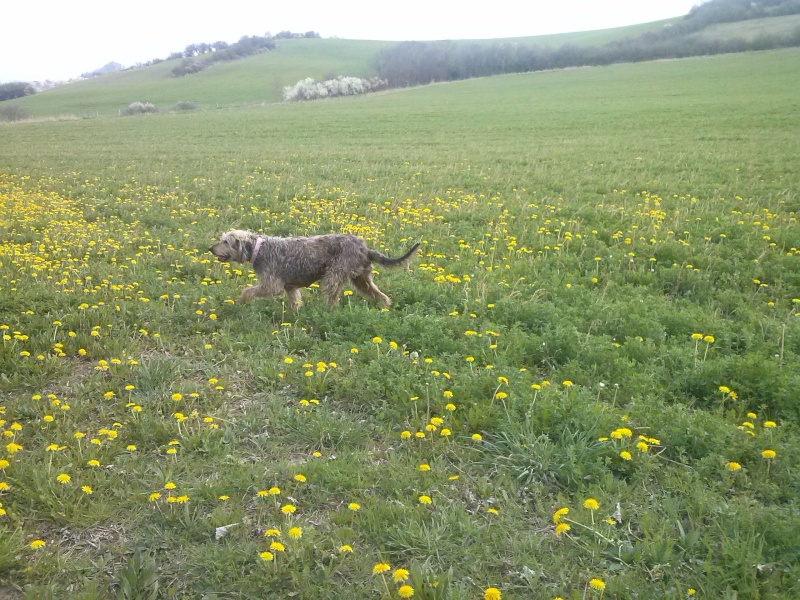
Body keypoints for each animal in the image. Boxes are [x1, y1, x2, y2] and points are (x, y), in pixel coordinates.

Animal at [208, 231, 418, 312]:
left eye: (226, 241)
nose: (210, 248)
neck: (258, 250)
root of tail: (364, 247)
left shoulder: (271, 285)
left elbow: (248, 290)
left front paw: (241, 301)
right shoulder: (290, 287)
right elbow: (294, 302)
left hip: (333, 277)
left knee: (332, 299)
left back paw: (327, 313)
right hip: (361, 279)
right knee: (380, 295)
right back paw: (385, 307)